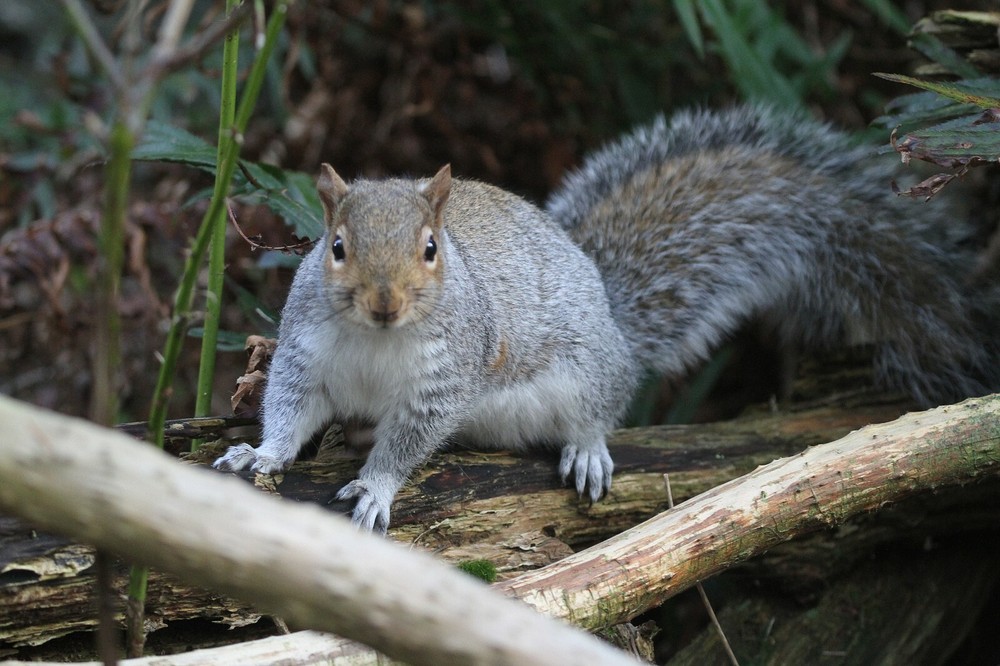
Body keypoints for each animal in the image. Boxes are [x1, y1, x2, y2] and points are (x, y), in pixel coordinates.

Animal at [214, 105, 998, 533]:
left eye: (431, 249)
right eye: (336, 248)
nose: (385, 302)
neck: (377, 341)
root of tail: (615, 322)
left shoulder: (447, 376)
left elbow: (409, 442)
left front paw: (376, 487)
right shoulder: (307, 351)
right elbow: (290, 410)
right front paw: (262, 454)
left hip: (587, 373)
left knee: (599, 408)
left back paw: (588, 448)